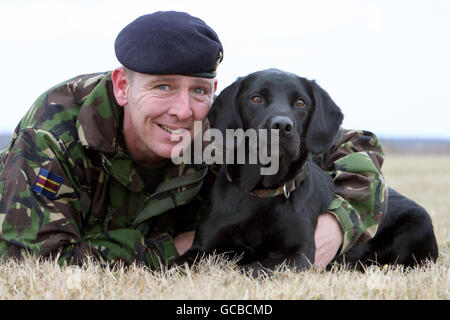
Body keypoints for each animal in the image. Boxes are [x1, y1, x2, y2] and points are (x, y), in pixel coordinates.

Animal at [173, 69, 440, 274]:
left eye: (301, 102)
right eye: (256, 99)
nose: (282, 126)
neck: (261, 194)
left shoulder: (298, 254)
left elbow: (250, 268)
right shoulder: (202, 247)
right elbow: (173, 265)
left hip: (417, 227)